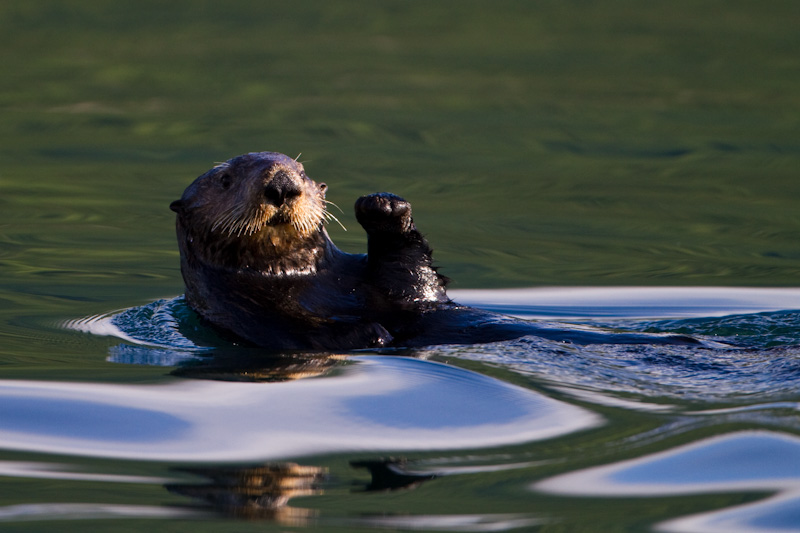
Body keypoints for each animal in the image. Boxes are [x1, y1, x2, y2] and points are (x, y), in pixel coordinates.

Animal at [170, 151, 700, 350]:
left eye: (302, 172)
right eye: (226, 179)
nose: (282, 185)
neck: (302, 280)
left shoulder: (395, 287)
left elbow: (412, 279)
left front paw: (382, 206)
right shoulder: (248, 315)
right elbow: (306, 333)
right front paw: (372, 332)